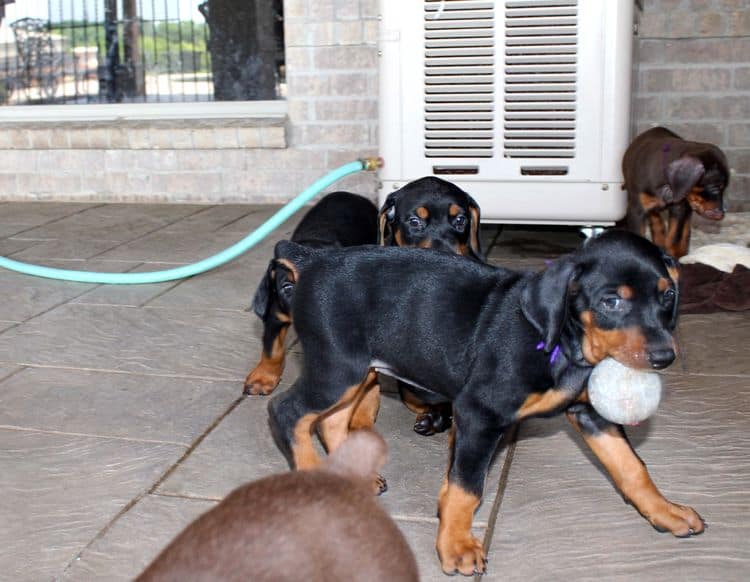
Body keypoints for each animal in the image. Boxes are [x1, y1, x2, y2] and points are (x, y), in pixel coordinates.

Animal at [268, 233, 704, 580]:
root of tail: (313, 260)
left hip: (356, 372)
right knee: (287, 412)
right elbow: (468, 488)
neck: (561, 342)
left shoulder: (591, 415)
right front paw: (457, 547)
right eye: (611, 301)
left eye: (668, 295)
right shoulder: (479, 413)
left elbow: (632, 468)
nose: (665, 356)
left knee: (331, 420)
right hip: (338, 368)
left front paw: (665, 511)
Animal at [624, 128, 728, 260]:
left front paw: (675, 256)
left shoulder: (679, 207)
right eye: (715, 188)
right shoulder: (636, 210)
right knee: (655, 216)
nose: (721, 214)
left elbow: (675, 237)